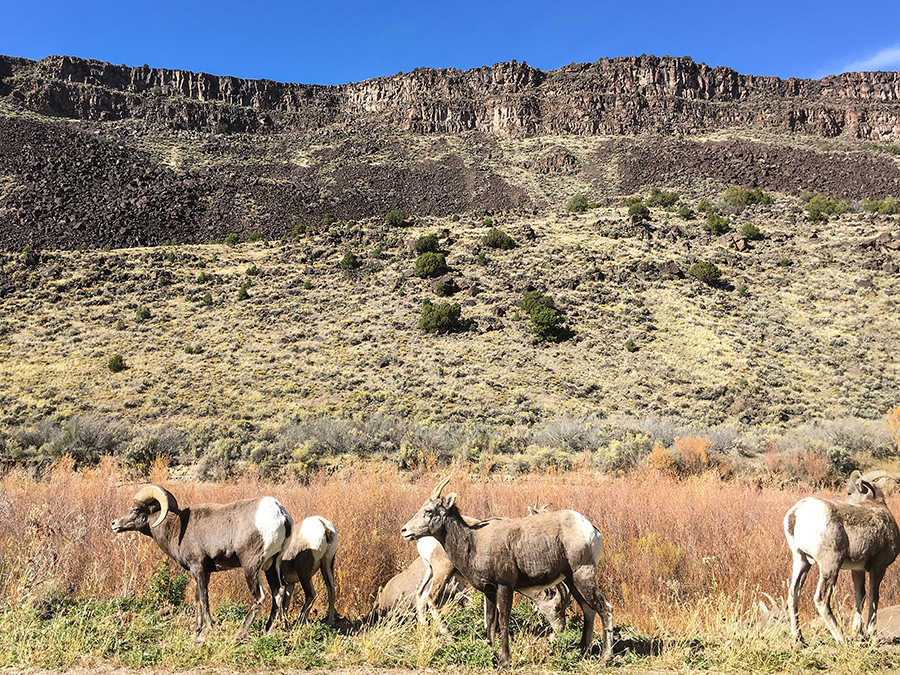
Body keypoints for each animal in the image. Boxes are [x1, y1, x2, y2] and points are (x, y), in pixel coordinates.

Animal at [108, 488, 292, 640]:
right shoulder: (204, 571)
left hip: (251, 566)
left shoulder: (198, 568)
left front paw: (207, 628)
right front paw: (197, 627)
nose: (114, 524)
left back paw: (239, 634)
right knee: (278, 593)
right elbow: (197, 596)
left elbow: (204, 596)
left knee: (259, 597)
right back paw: (267, 631)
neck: (175, 529)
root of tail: (280, 513)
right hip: (272, 565)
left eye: (135, 509)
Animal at [400, 476, 612, 672]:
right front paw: (490, 649)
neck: (474, 542)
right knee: (589, 609)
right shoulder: (489, 590)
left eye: (429, 511)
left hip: (582, 576)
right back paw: (583, 651)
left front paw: (504, 662)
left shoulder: (504, 587)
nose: (405, 530)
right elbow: (490, 620)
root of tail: (592, 530)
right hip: (573, 581)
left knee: (605, 608)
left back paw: (603, 659)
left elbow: (502, 620)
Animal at [780, 470, 900, 644]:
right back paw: (841, 639)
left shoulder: (857, 569)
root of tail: (796, 513)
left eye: (849, 492)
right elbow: (874, 596)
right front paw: (871, 633)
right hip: (830, 564)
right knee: (821, 598)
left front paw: (859, 633)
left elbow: (860, 595)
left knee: (793, 593)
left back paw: (799, 639)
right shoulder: (879, 567)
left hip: (801, 560)